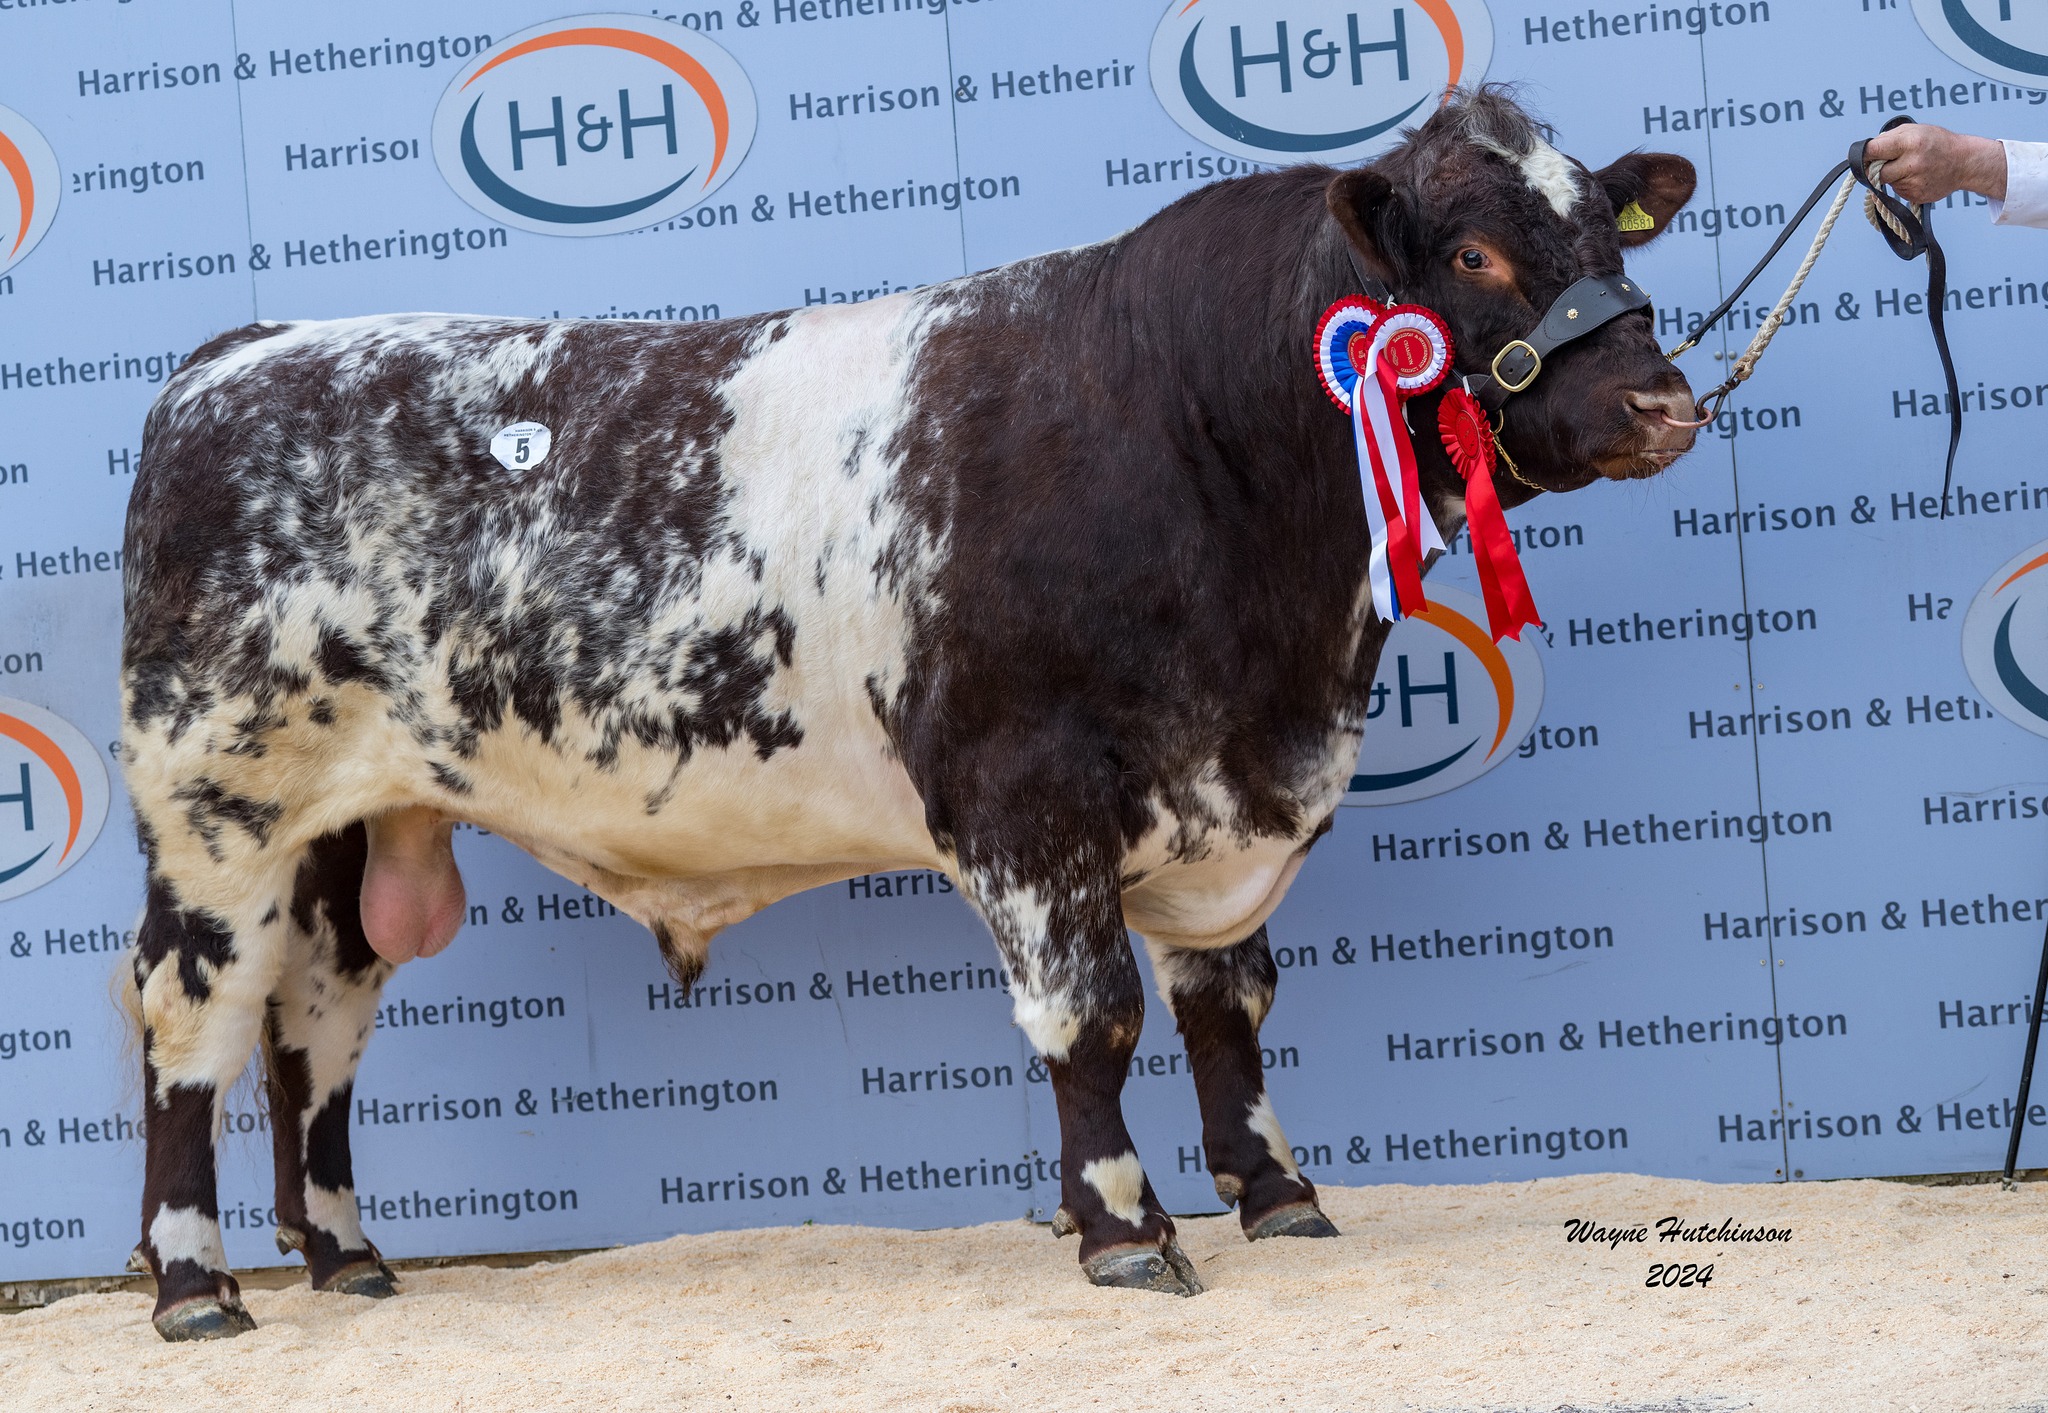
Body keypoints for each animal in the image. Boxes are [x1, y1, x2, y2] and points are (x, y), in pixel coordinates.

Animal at [119, 87, 1699, 1340]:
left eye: (1614, 242)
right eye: (1476, 253)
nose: (1662, 406)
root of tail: (238, 353)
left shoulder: (1220, 792)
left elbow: (1227, 1004)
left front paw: (1276, 1194)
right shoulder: (1026, 792)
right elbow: (1094, 1015)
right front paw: (1123, 1227)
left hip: (349, 826)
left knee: (313, 1022)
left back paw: (345, 1258)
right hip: (218, 807)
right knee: (191, 1017)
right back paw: (197, 1284)